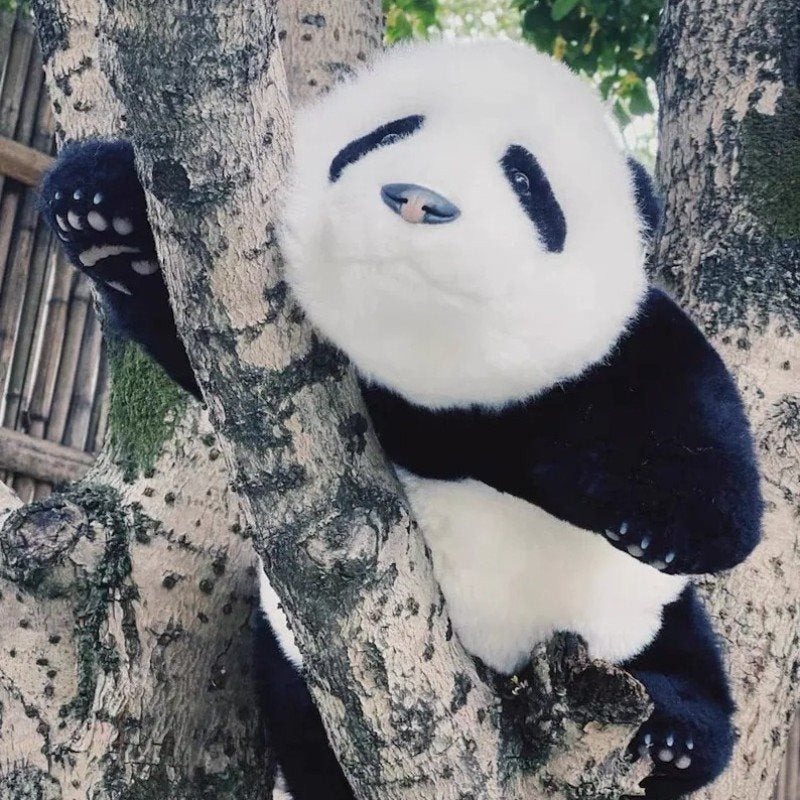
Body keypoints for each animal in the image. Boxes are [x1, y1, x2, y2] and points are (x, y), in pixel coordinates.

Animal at [41, 39, 762, 800]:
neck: (432, 371)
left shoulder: (612, 360)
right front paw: (104, 217)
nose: (419, 200)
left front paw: (658, 519)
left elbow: (692, 431)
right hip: (292, 663)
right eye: (385, 135)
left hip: (637, 629)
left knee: (690, 676)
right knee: (303, 726)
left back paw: (674, 735)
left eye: (525, 178)